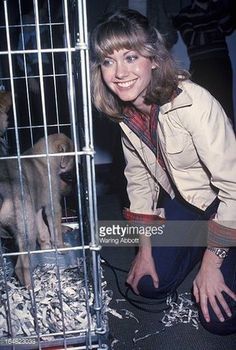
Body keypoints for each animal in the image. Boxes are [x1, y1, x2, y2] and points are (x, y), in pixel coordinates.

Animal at [0, 133, 74, 286]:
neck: (41, 159)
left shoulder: (37, 210)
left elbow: (44, 229)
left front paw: (46, 246)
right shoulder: (53, 206)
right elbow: (55, 228)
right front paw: (61, 246)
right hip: (26, 227)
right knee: (20, 266)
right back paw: (31, 286)